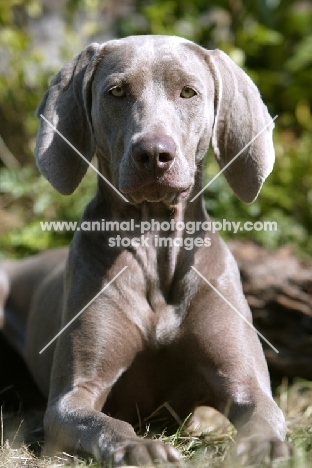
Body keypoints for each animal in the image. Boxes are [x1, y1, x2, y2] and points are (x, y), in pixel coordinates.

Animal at [1, 35, 290, 464]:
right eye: (117, 92)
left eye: (188, 91)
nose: (153, 153)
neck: (155, 244)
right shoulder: (73, 398)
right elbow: (104, 423)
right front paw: (139, 446)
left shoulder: (246, 381)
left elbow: (263, 412)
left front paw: (267, 446)